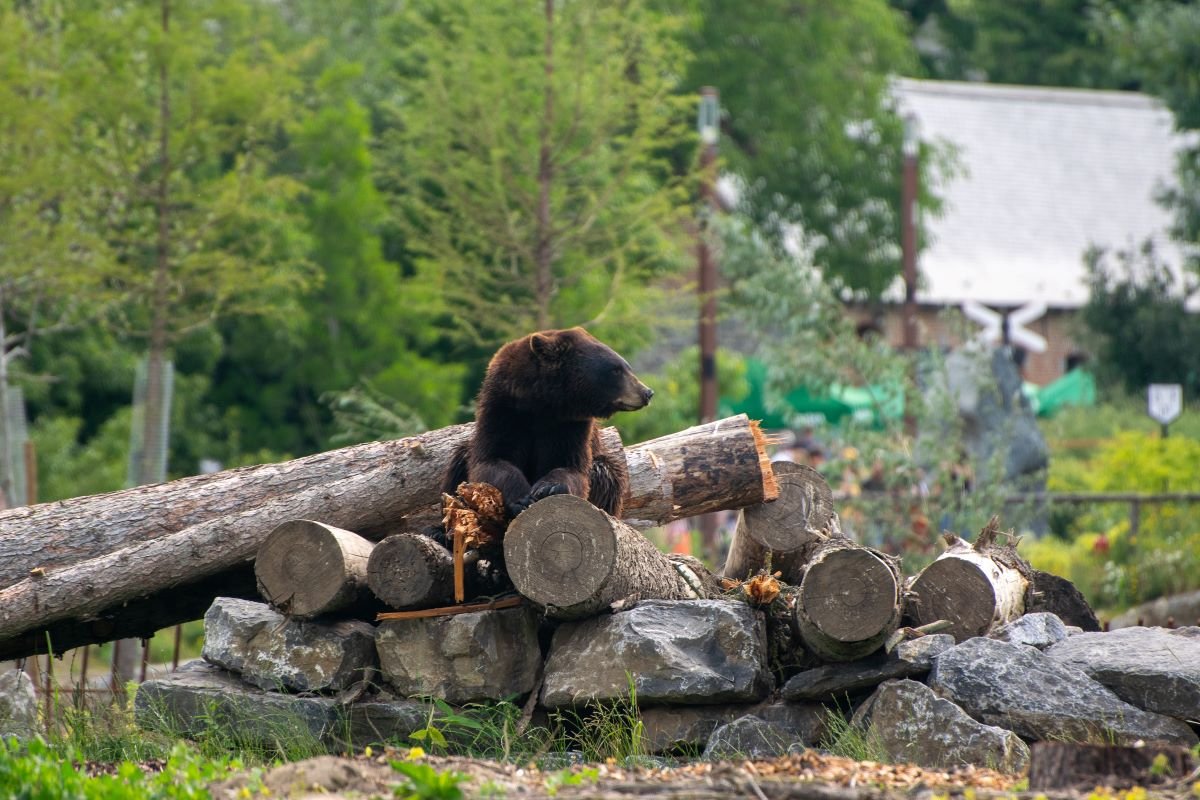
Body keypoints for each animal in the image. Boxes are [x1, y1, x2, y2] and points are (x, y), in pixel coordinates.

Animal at [441, 327, 653, 519]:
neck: (542, 403)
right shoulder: (504, 410)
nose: (647, 392)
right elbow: (491, 460)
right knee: (460, 462)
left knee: (603, 472)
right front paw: (522, 498)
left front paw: (547, 487)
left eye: (626, 367)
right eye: (616, 370)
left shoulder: (568, 425)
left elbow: (570, 466)